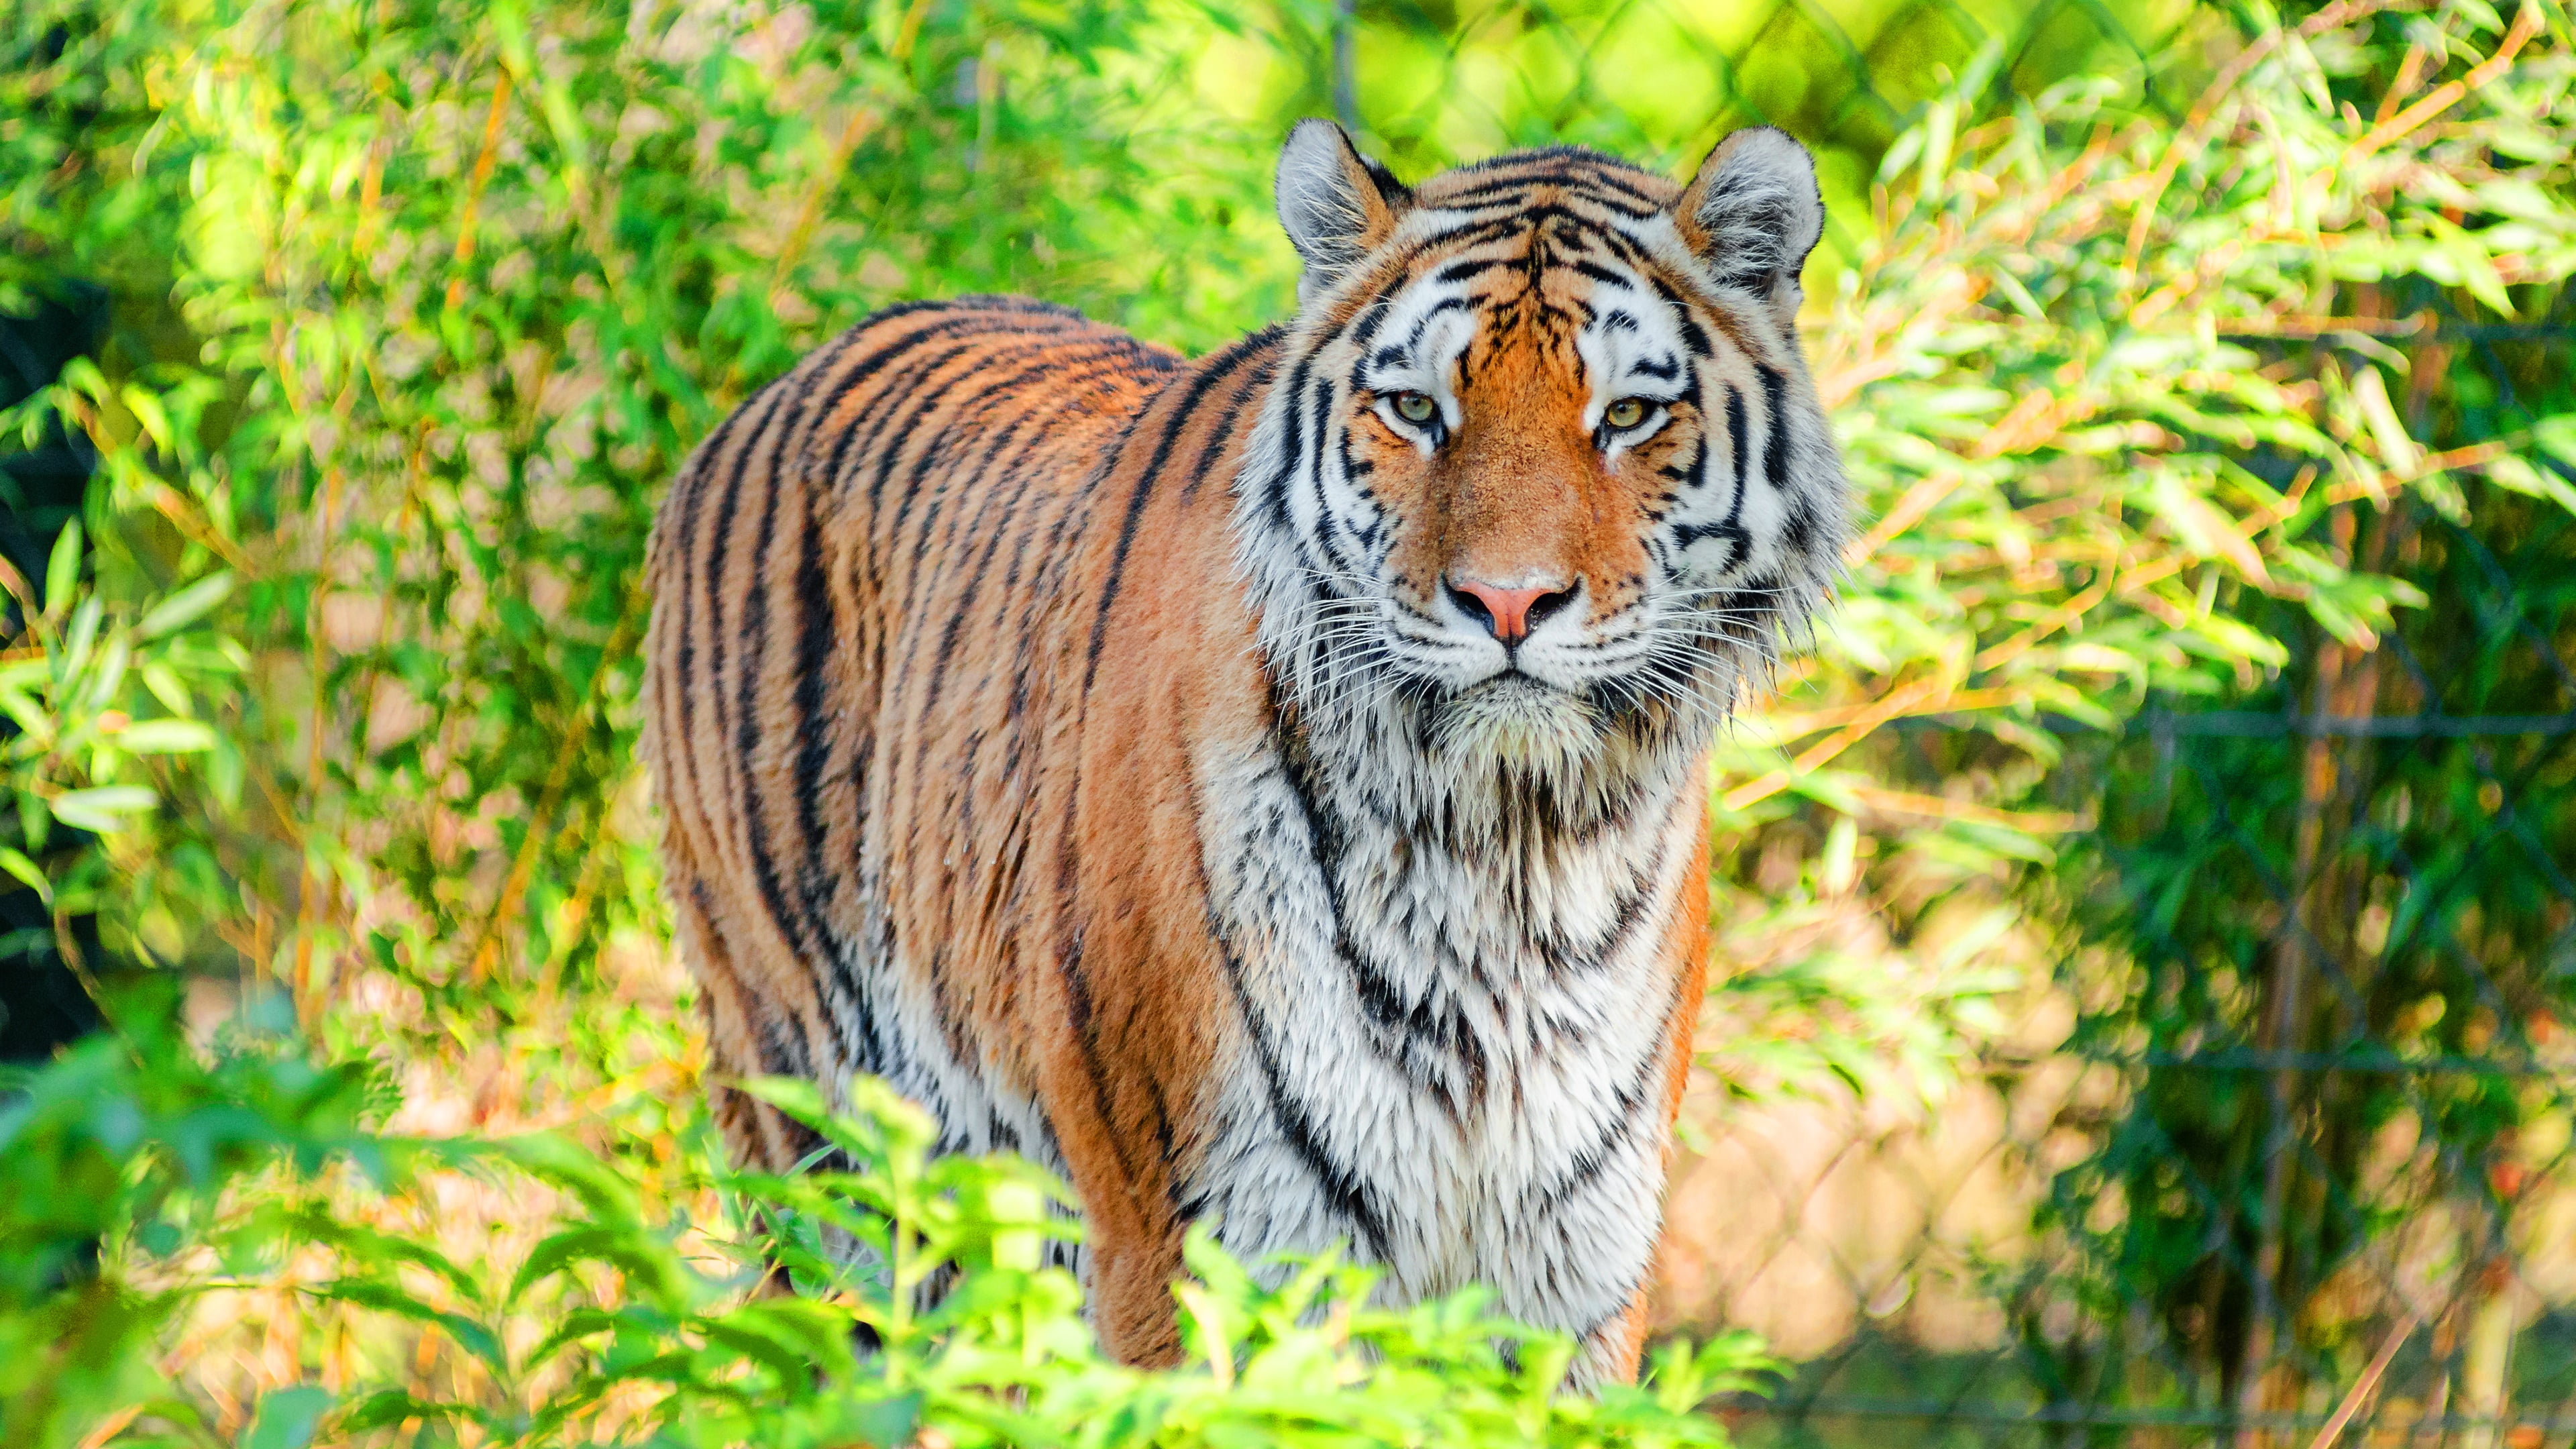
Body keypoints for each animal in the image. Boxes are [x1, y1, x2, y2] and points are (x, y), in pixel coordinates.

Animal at [640, 119, 1850, 1385]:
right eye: (1415, 409)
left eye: (1625, 417)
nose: (1508, 604)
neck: (1506, 855)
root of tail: (754, 405)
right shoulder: (1198, 1251)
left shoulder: (1575, 1276)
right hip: (825, 1152)